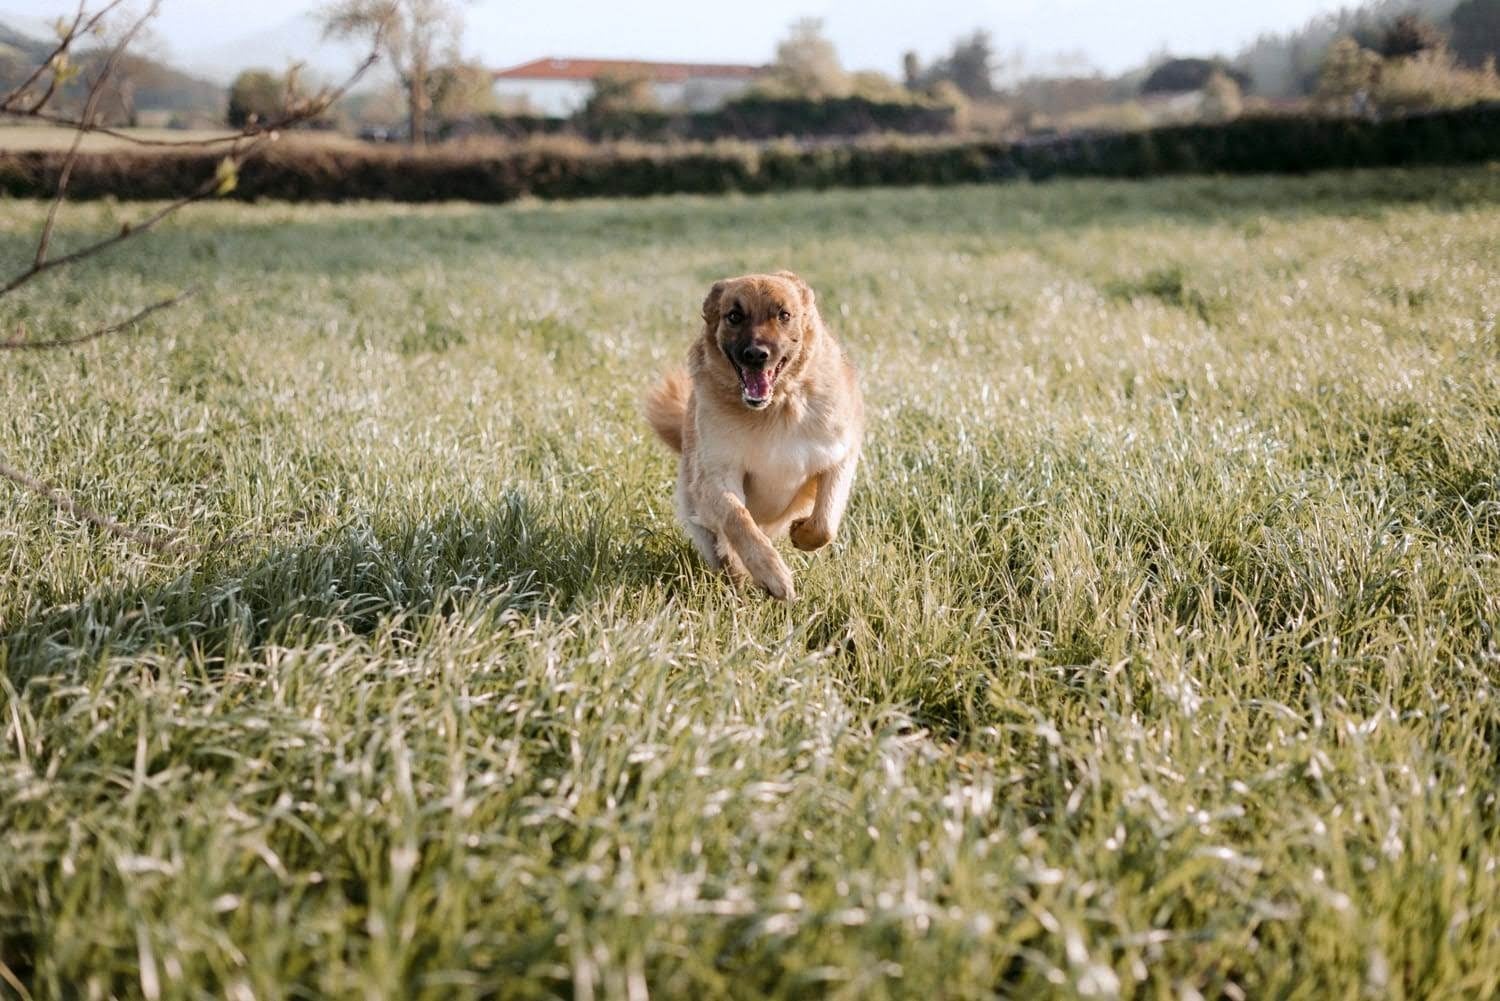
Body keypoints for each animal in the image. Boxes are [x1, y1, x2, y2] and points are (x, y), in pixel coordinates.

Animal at [648, 270, 870, 600]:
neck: (773, 409)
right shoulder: (716, 475)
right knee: (726, 550)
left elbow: (825, 522)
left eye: (784, 315)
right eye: (734, 316)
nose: (755, 355)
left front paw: (801, 534)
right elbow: (738, 518)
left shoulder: (839, 455)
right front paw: (772, 574)